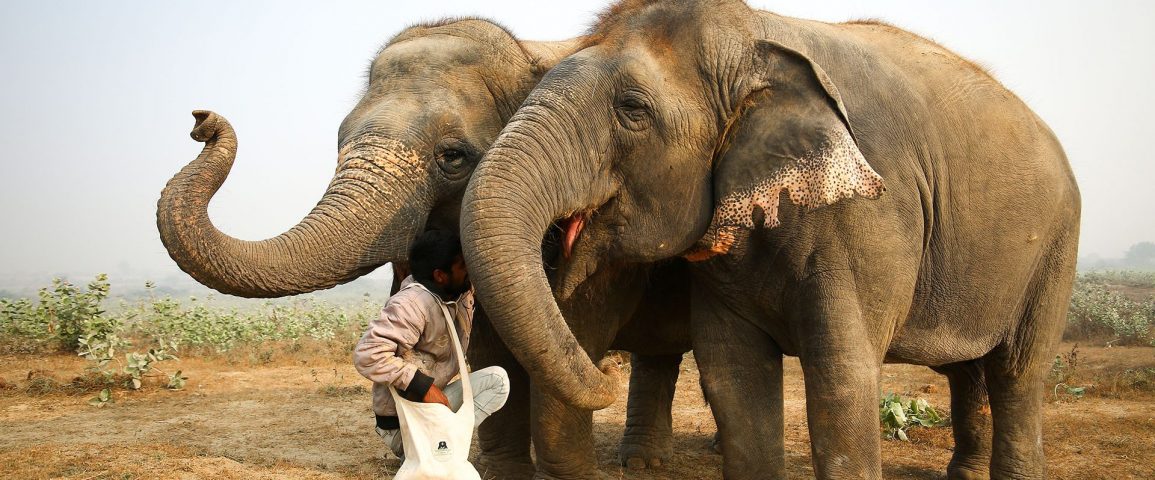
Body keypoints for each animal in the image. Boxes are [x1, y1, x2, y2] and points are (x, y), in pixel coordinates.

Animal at [460, 1, 1080, 479]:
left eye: (632, 110)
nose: (606, 372)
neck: (758, 35)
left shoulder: (869, 215)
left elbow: (841, 378)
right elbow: (733, 376)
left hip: (1057, 245)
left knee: (1018, 371)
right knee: (970, 369)